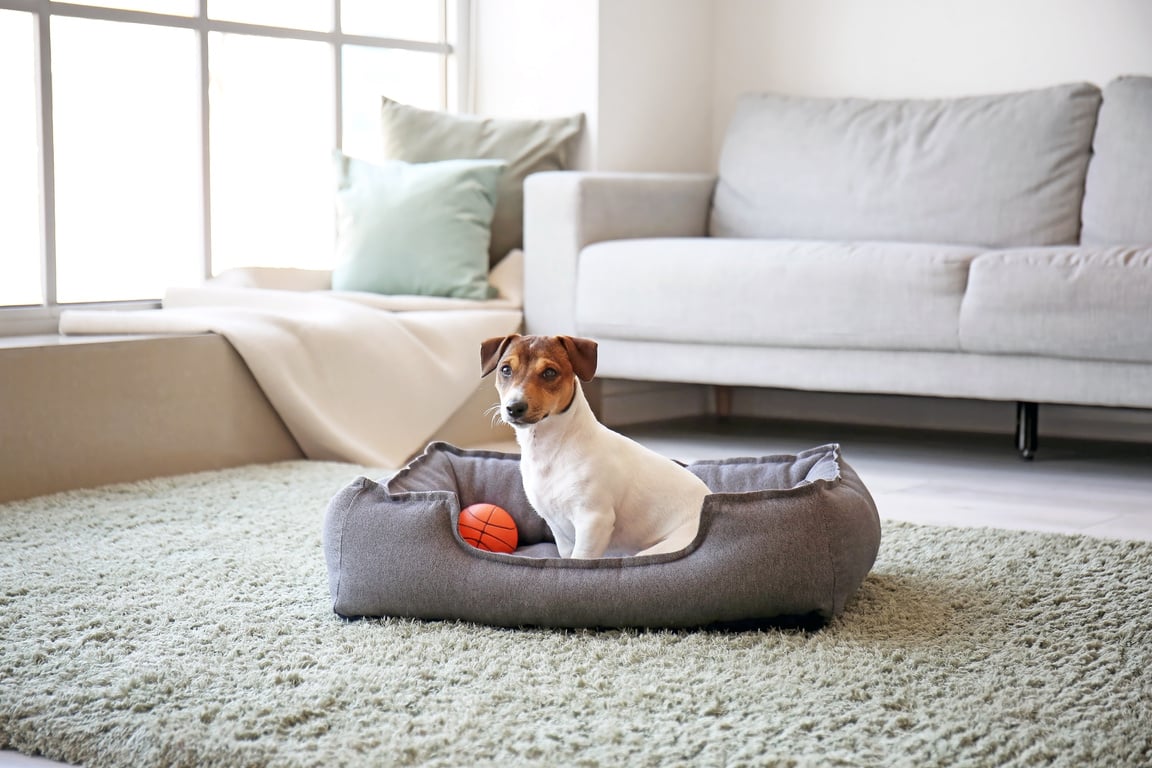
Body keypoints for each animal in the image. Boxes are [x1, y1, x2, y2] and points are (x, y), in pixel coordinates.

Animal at [479, 331, 709, 559]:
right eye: (505, 369)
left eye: (549, 373)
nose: (514, 407)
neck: (552, 449)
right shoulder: (558, 529)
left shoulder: (594, 521)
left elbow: (580, 558)